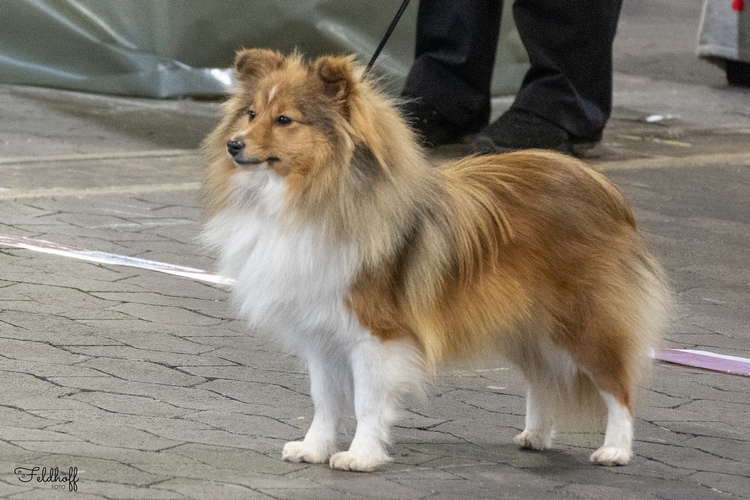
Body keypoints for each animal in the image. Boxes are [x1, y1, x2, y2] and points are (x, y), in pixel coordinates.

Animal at [203, 49, 672, 472]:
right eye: (250, 114)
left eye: (285, 120)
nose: (233, 145)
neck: (311, 195)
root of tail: (605, 191)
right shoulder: (322, 333)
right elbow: (325, 400)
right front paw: (313, 449)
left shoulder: (377, 336)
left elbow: (367, 402)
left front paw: (360, 456)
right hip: (528, 326)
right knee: (543, 380)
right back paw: (536, 436)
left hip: (583, 322)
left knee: (618, 387)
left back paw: (615, 450)